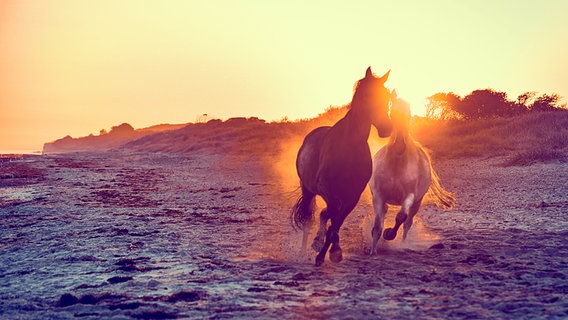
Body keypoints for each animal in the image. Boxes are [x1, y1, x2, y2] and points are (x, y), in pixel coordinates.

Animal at [290, 66, 392, 266]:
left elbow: (337, 222)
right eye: (367, 95)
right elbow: (332, 217)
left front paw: (331, 252)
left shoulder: (352, 195)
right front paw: (325, 250)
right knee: (309, 217)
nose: (387, 128)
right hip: (308, 190)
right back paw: (305, 249)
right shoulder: (327, 190)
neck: (349, 146)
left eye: (386, 96)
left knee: (325, 215)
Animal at [368, 90, 458, 255]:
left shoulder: (409, 196)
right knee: (385, 213)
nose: (399, 145)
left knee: (407, 224)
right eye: (392, 114)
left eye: (409, 115)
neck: (397, 165)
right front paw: (373, 250)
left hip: (417, 203)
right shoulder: (378, 195)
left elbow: (400, 217)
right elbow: (377, 225)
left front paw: (389, 234)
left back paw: (403, 243)